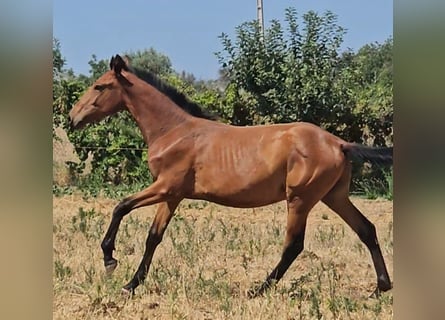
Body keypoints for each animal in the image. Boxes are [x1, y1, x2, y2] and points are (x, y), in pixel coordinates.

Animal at [67, 53, 390, 296]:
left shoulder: (165, 186)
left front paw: (110, 259)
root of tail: (339, 143)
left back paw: (258, 289)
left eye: (99, 86)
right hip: (334, 196)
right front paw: (131, 284)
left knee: (294, 245)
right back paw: (380, 288)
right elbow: (153, 237)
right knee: (366, 230)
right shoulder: (172, 195)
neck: (174, 131)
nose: (72, 118)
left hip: (300, 200)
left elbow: (121, 207)